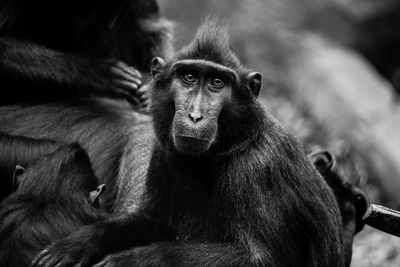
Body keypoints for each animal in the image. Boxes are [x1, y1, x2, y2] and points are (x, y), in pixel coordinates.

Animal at [31, 19, 344, 267]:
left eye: (217, 82)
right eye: (189, 77)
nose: (194, 115)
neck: (232, 143)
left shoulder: (257, 171)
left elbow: (259, 259)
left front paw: (129, 261)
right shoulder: (162, 152)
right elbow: (152, 220)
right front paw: (79, 243)